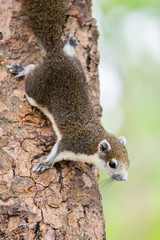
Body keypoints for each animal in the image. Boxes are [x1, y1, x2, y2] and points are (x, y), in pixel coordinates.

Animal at [7, 0, 130, 180]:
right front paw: (45, 163)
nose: (123, 178)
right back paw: (22, 69)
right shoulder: (73, 144)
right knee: (31, 73)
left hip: (77, 66)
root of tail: (55, 56)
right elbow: (57, 151)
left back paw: (69, 44)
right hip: (36, 89)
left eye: (129, 161)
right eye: (112, 164)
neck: (94, 141)